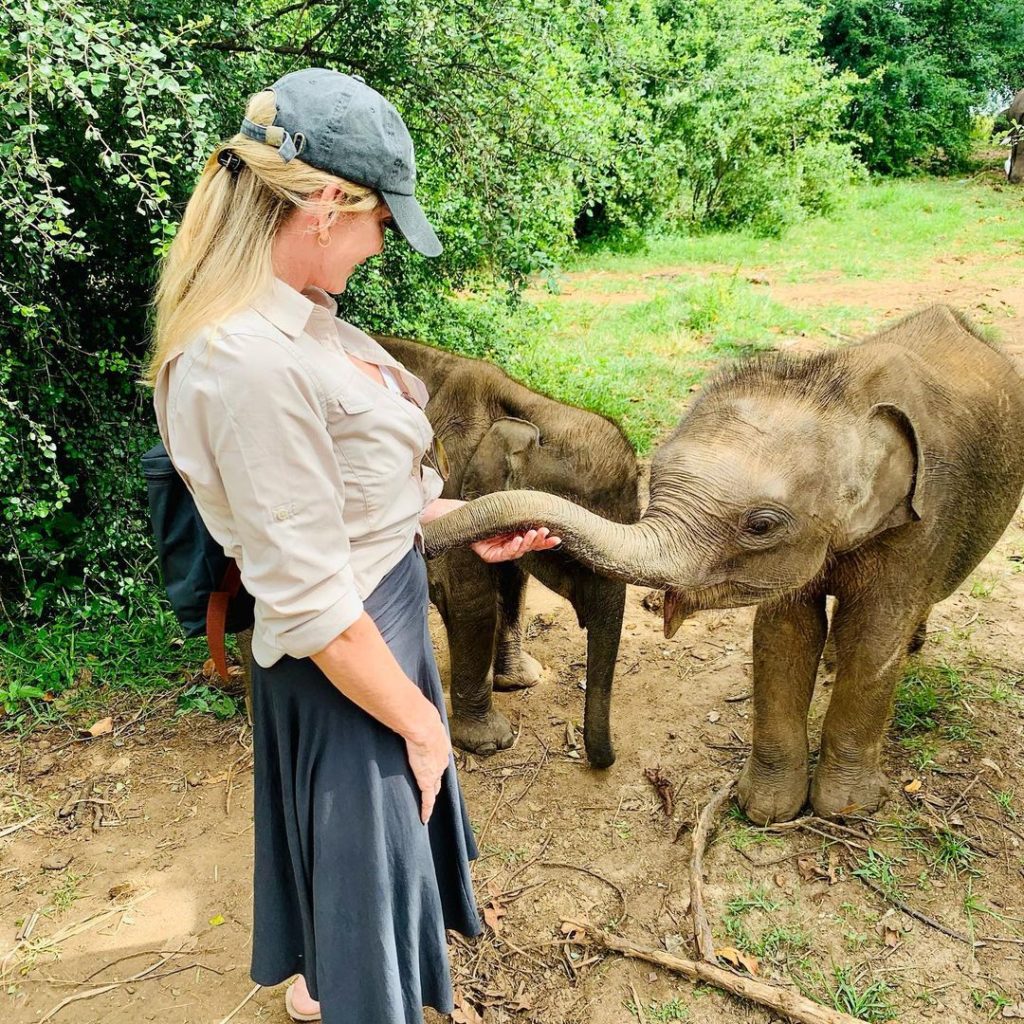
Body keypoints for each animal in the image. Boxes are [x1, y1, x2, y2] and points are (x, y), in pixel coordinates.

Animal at [375, 335, 640, 767]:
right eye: (574, 554)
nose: (604, 762)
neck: (531, 408)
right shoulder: (454, 479)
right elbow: (470, 600)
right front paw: (489, 743)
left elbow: (514, 583)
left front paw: (520, 681)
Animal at [423, 305, 1024, 822]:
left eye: (761, 525)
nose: (607, 763)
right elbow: (784, 633)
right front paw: (767, 812)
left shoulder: (925, 518)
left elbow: (874, 638)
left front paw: (844, 812)